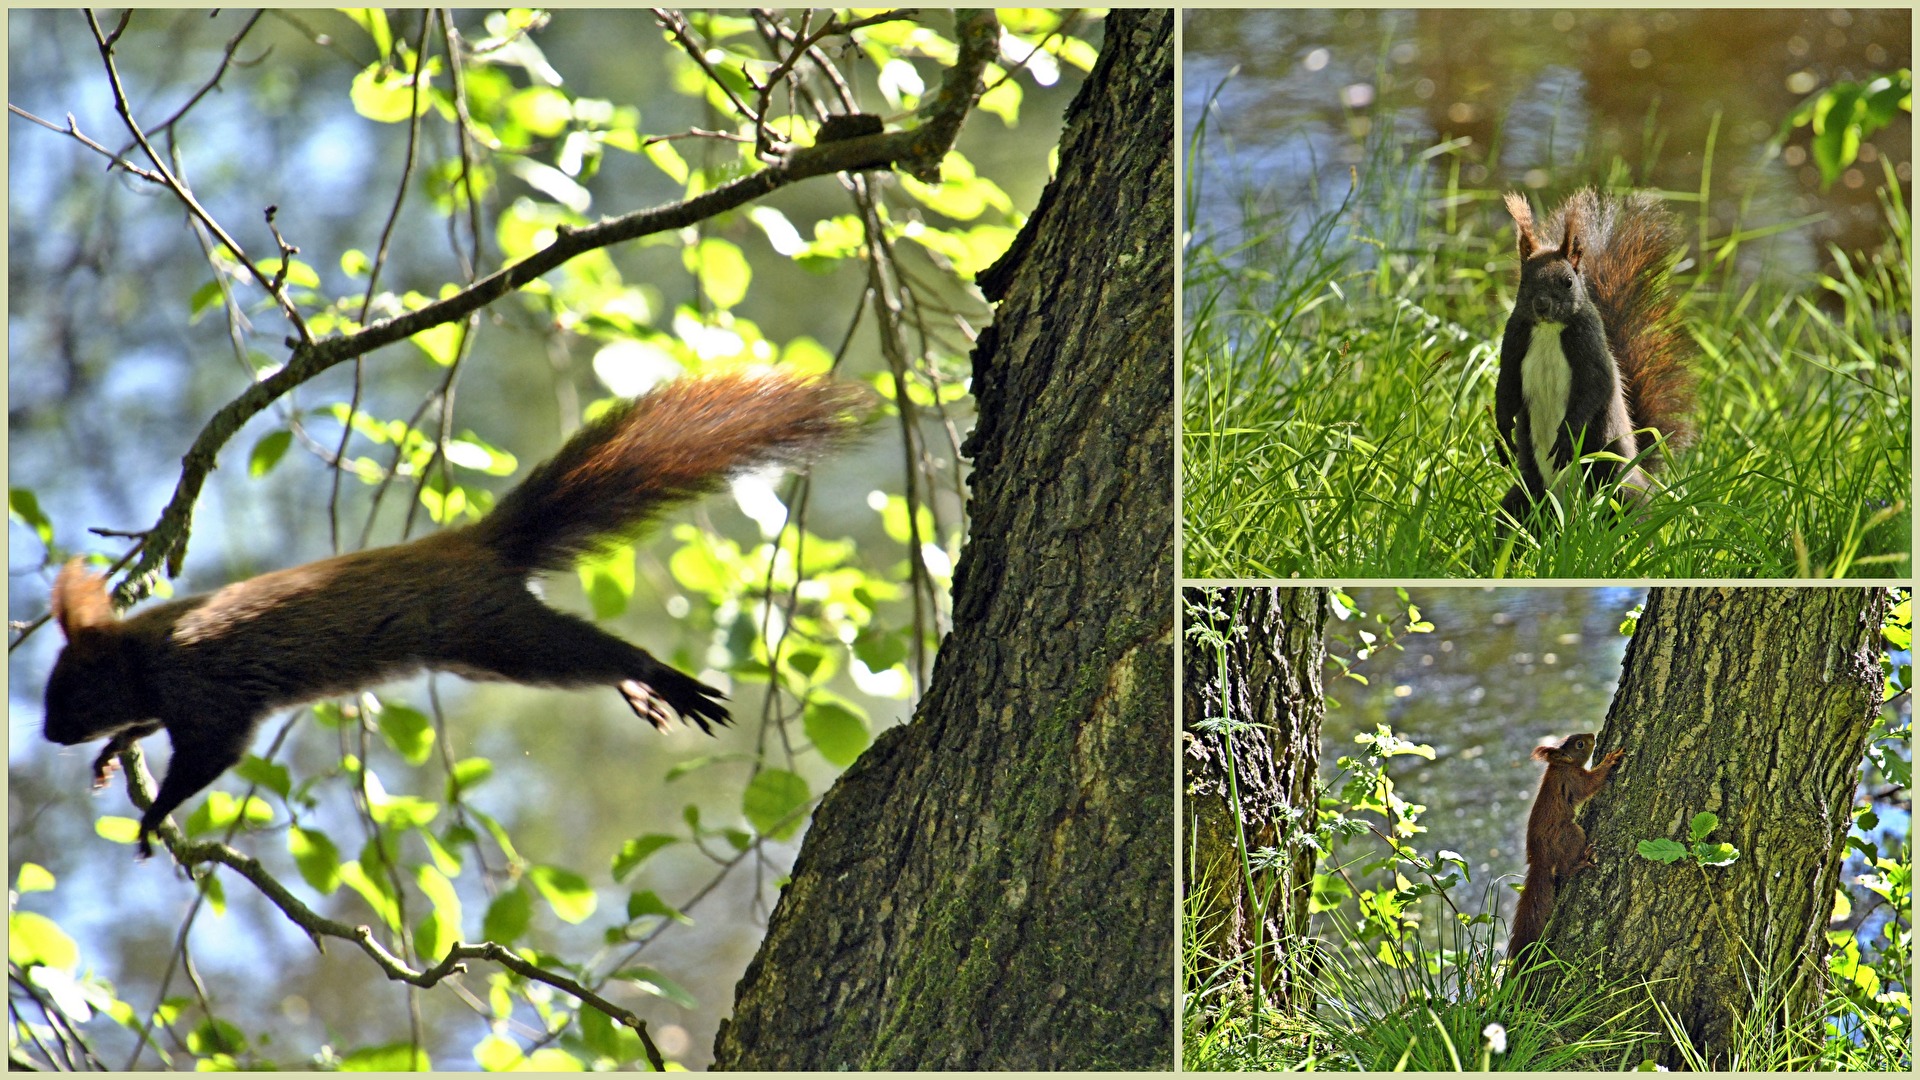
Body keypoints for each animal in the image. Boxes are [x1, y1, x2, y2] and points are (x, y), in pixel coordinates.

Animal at [41, 371, 867, 858]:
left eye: (72, 687)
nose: (49, 733)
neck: (147, 652)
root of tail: (476, 545)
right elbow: (148, 728)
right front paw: (114, 752)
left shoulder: (210, 698)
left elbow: (209, 754)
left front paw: (152, 817)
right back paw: (640, 692)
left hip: (502, 635)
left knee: (593, 652)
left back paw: (659, 678)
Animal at [1496, 188, 1695, 529]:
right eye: (1523, 281)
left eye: (1567, 281)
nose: (1541, 304)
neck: (1549, 329)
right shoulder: (1513, 342)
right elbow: (1506, 389)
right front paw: (1502, 433)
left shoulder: (1591, 349)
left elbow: (1595, 389)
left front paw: (1566, 436)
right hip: (1526, 496)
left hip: (1616, 486)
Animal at [1504, 731, 1624, 988]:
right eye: (1579, 744)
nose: (1592, 735)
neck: (1560, 766)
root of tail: (1539, 859)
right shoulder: (1573, 781)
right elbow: (1591, 784)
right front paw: (1610, 760)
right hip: (1570, 834)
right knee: (1564, 869)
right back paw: (1582, 861)